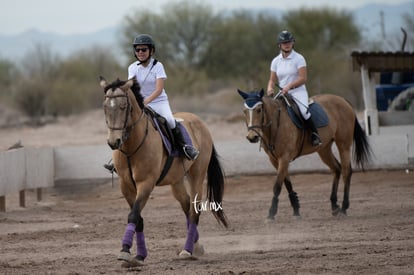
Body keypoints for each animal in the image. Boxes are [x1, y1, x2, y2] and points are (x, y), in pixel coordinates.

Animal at [100, 77, 230, 268]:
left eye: (123, 107)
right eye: (105, 108)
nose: (113, 142)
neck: (131, 146)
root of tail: (199, 121)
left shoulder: (146, 183)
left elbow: (133, 215)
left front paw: (125, 251)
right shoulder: (126, 186)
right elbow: (138, 219)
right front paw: (139, 255)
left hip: (196, 176)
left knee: (194, 210)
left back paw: (187, 250)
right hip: (176, 182)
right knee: (187, 206)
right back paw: (196, 245)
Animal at [238, 89, 370, 223]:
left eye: (259, 110)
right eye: (244, 111)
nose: (252, 137)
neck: (275, 125)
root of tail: (342, 100)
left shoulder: (284, 158)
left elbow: (277, 186)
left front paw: (271, 213)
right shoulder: (274, 160)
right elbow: (287, 183)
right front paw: (296, 210)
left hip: (343, 144)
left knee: (346, 171)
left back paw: (343, 208)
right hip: (324, 149)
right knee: (336, 169)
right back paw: (334, 206)